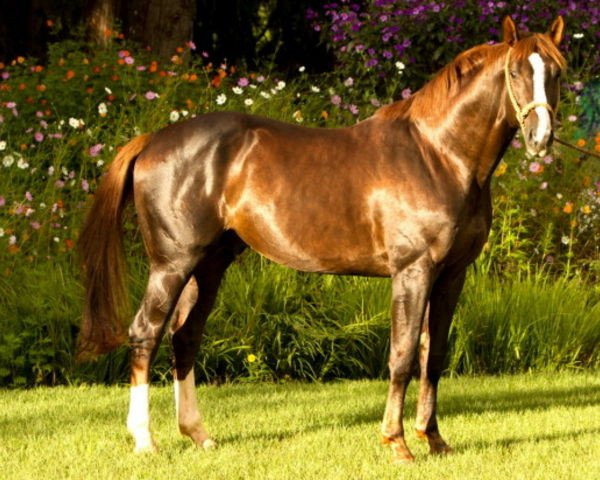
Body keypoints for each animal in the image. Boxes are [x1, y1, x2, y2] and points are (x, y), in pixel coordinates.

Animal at [78, 16, 568, 464]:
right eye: (517, 71)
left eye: (557, 72)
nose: (541, 137)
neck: (438, 155)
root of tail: (152, 141)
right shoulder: (413, 272)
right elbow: (403, 355)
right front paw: (397, 444)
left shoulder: (452, 276)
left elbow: (435, 357)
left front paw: (434, 439)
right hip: (172, 263)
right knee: (146, 332)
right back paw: (145, 440)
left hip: (209, 265)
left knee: (185, 335)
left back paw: (198, 435)